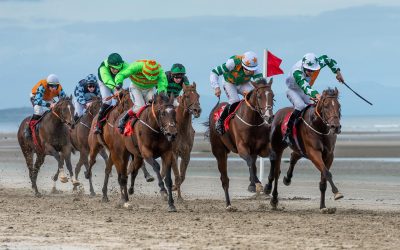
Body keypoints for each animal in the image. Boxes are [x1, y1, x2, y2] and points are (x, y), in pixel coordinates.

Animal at [206, 78, 276, 211]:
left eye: (272, 95)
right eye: (259, 96)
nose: (269, 117)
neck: (252, 121)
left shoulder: (262, 148)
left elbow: (271, 158)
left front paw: (266, 187)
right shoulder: (242, 147)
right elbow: (248, 161)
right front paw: (257, 184)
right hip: (219, 151)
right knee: (224, 179)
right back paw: (229, 204)